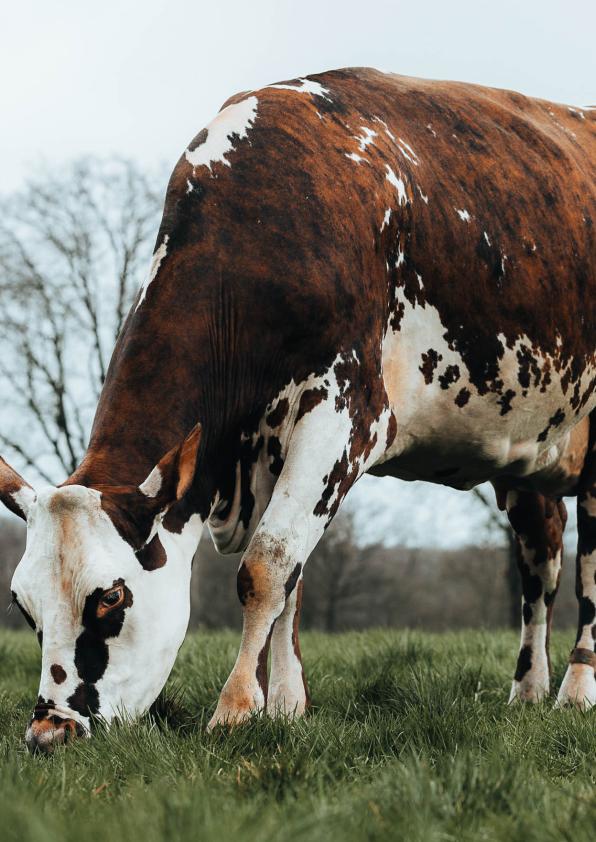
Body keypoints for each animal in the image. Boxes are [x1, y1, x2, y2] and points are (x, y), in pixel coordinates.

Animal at [1, 68, 594, 752]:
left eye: (112, 598)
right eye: (23, 605)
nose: (49, 731)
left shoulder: (340, 417)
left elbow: (266, 565)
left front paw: (236, 707)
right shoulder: (275, 448)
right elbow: (294, 578)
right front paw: (285, 705)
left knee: (588, 568)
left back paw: (577, 689)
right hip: (531, 452)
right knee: (541, 560)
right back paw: (528, 691)